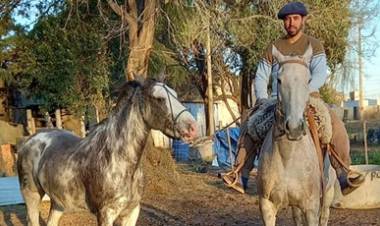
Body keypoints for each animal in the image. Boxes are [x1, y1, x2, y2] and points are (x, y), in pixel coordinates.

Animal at [17, 78, 199, 225]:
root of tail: (29, 140)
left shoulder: (132, 212)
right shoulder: (106, 214)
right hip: (31, 195)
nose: (192, 128)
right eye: (159, 98)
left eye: (175, 94)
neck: (118, 159)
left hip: (58, 202)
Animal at [258, 45, 336, 225]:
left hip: (327, 194)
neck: (288, 157)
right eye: (279, 80)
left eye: (308, 80)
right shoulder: (267, 206)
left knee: (325, 216)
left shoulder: (311, 208)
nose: (294, 128)